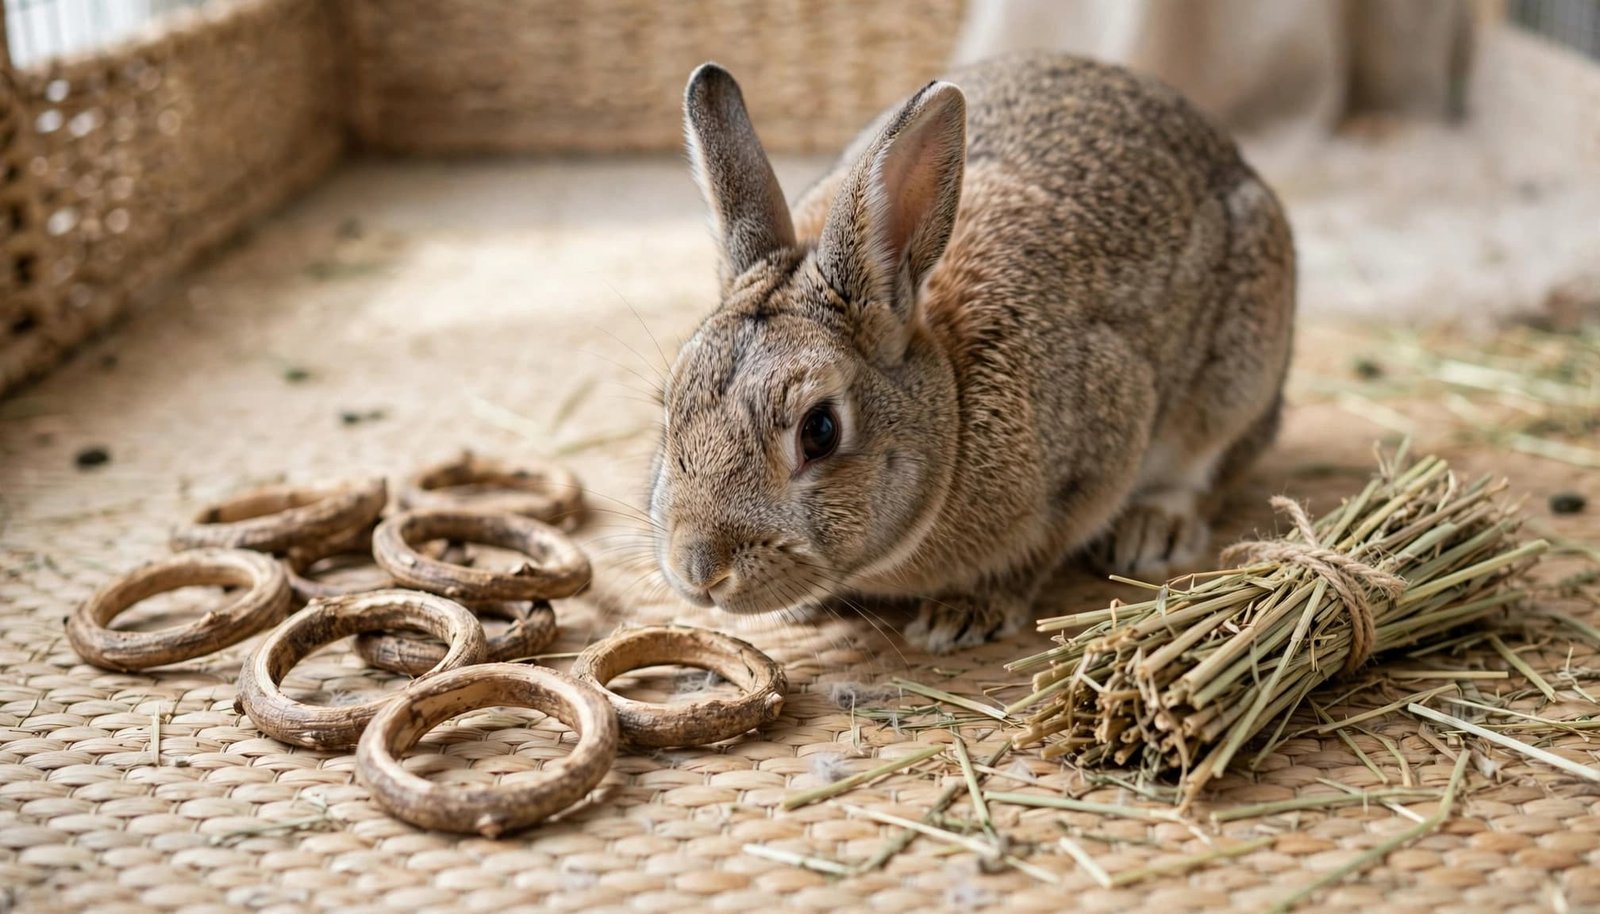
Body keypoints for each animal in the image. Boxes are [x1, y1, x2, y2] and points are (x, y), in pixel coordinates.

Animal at [648, 53, 1294, 653]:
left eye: (820, 431)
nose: (700, 571)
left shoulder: (1100, 446)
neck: (952, 406)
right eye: (670, 409)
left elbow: (1035, 552)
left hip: (1237, 381)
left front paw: (963, 616)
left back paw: (1152, 531)